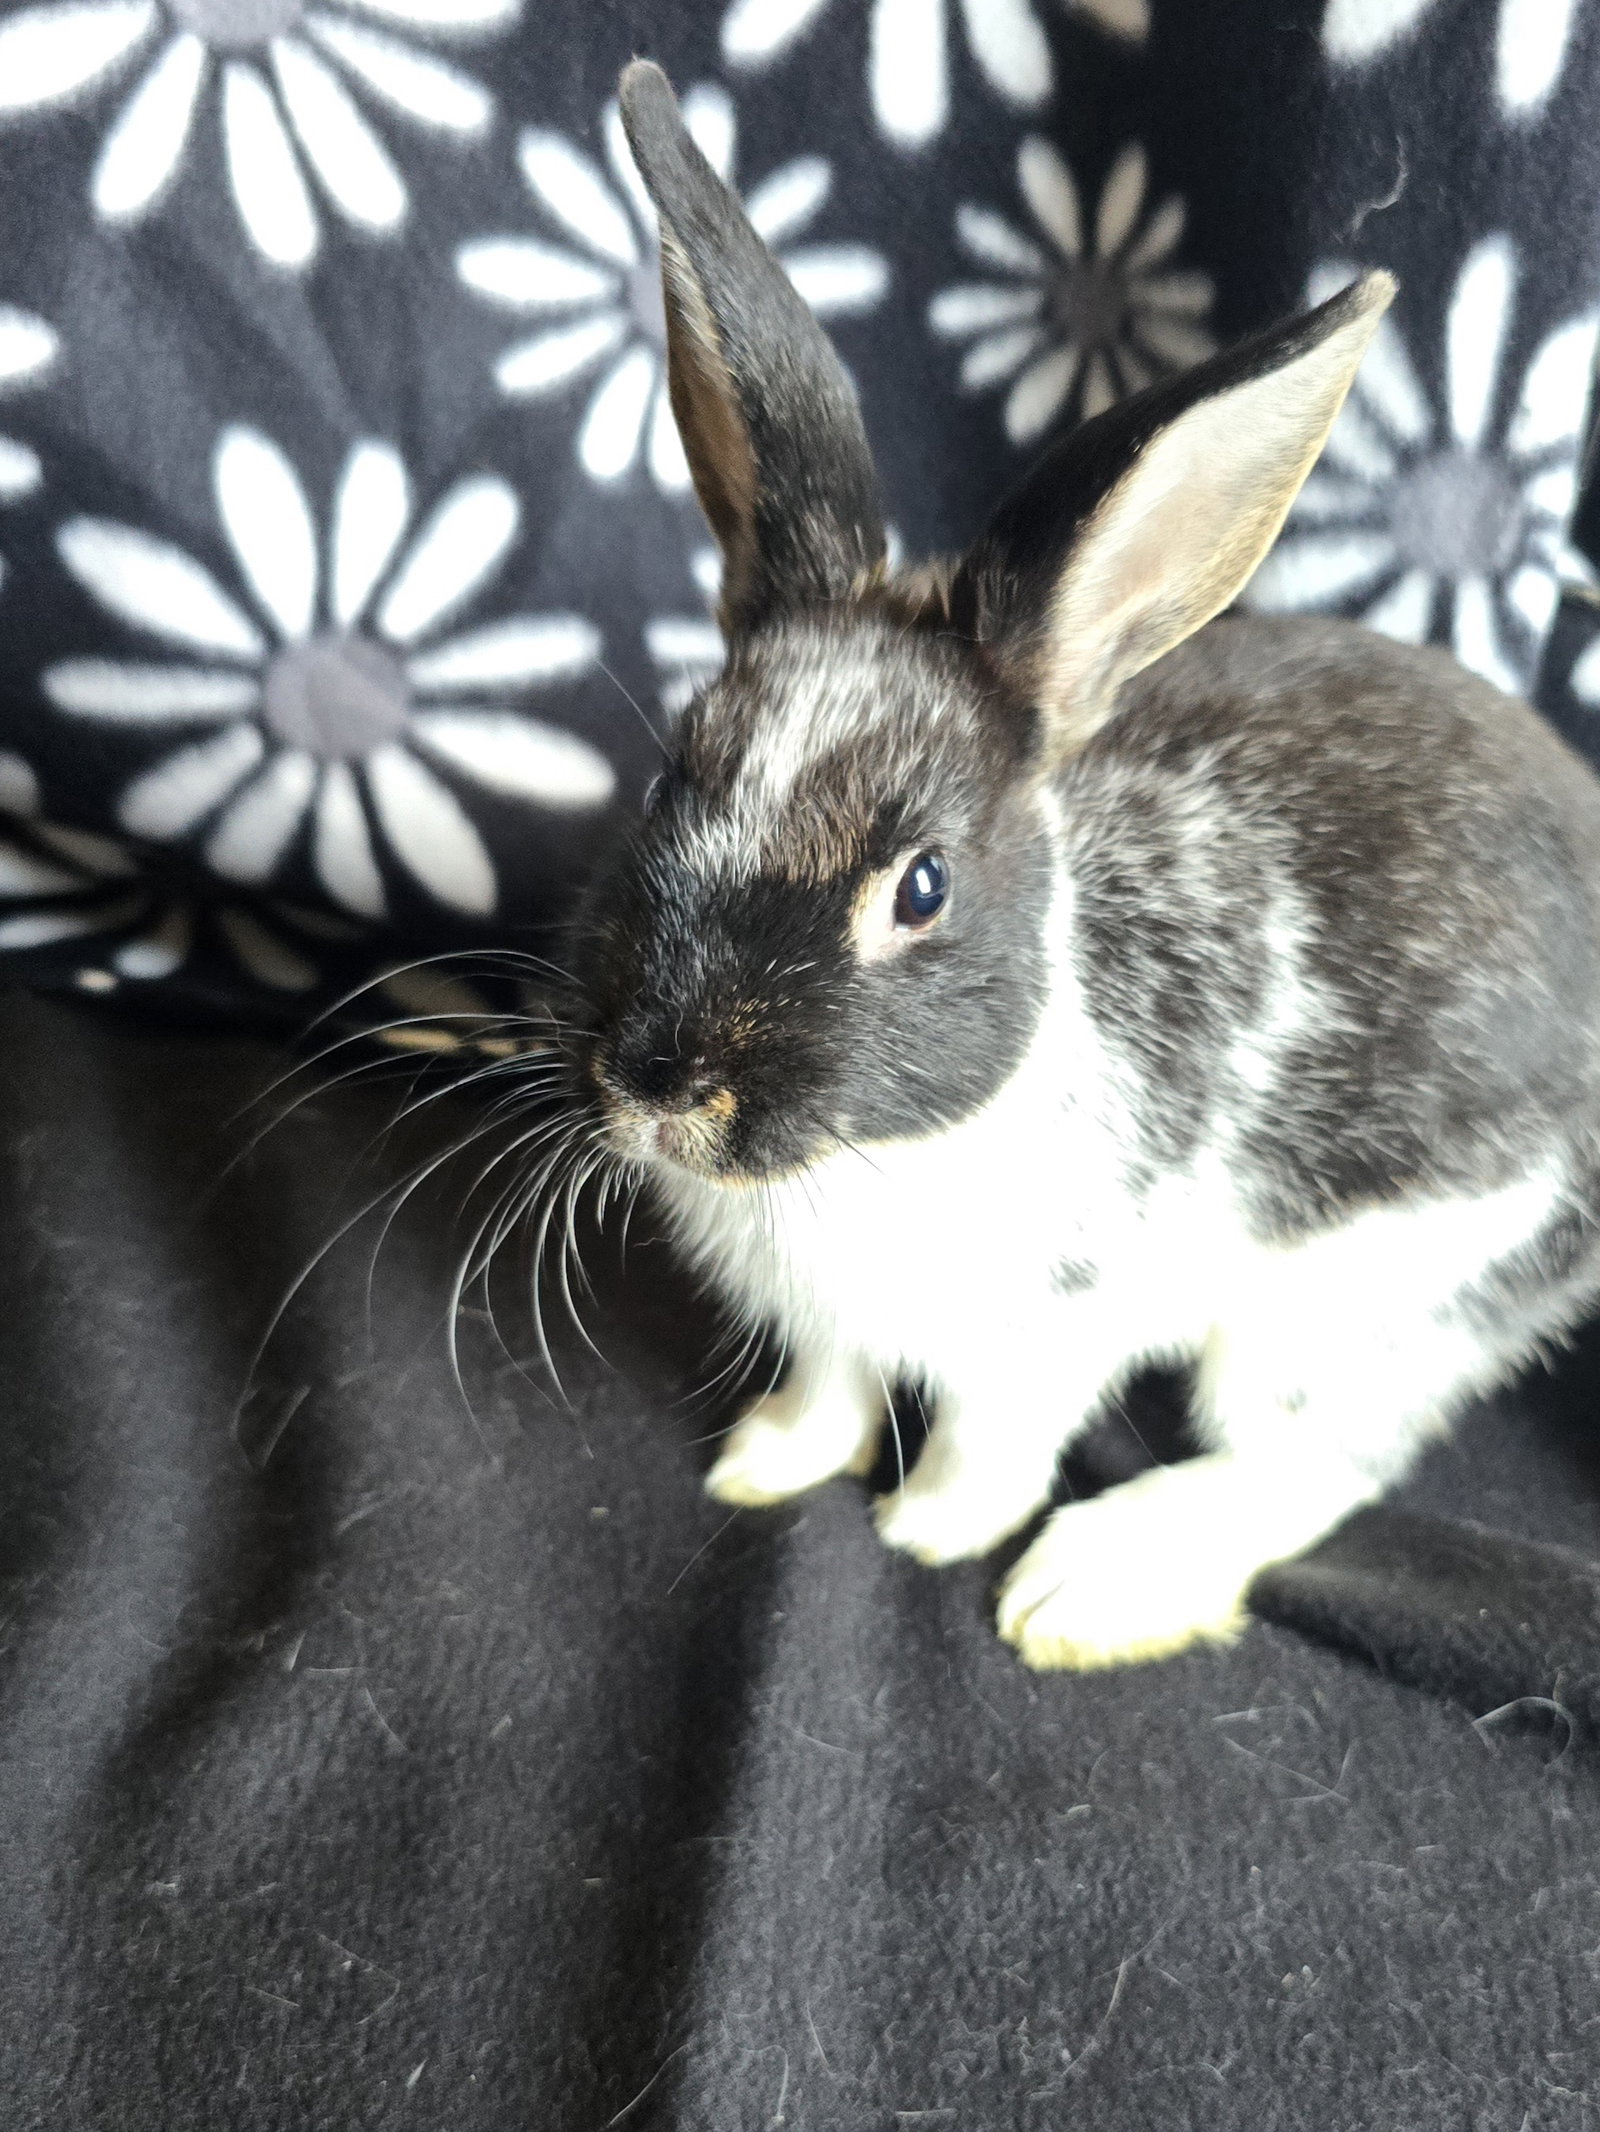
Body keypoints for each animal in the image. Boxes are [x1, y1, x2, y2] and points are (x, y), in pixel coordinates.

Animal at [564, 60, 1600, 1671]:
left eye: (921, 886)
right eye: (677, 773)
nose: (664, 1086)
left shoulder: (1051, 1336)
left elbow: (989, 1441)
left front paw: (927, 1530)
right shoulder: (833, 1324)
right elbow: (830, 1383)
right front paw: (767, 1463)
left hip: (1374, 1287)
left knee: (1324, 1452)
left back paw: (1100, 1582)